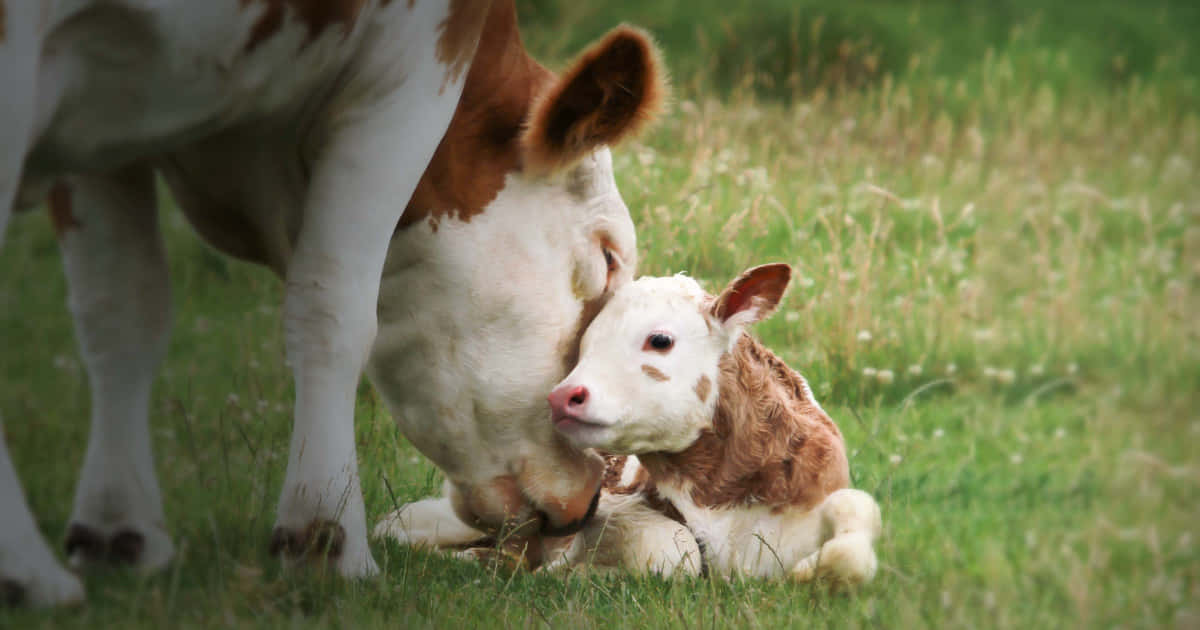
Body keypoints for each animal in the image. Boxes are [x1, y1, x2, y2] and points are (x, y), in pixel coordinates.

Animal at [0, 0, 667, 604]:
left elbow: (121, 312)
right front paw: (326, 537)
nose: (591, 494)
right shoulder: (412, 68)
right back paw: (27, 570)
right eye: (608, 258)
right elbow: (334, 310)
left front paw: (118, 532)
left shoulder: (107, 143)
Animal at [384, 262, 883, 583]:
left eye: (660, 340)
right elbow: (675, 550)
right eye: (584, 345)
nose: (563, 396)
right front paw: (570, 573)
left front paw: (808, 574)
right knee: (399, 526)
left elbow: (857, 528)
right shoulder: (612, 507)